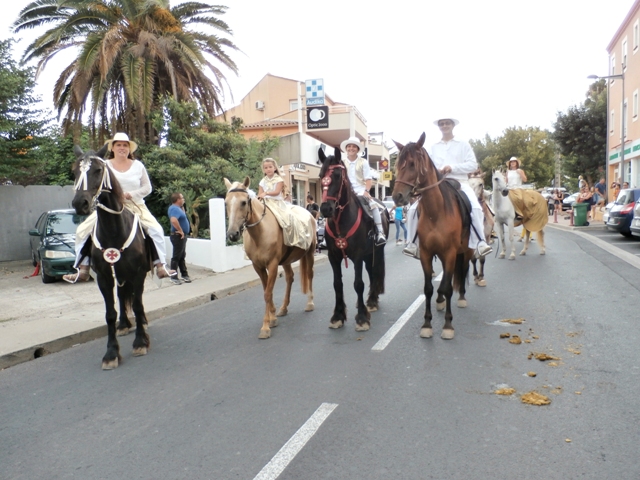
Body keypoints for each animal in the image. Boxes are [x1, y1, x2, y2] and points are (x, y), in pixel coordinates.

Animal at [71, 144, 154, 370]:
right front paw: (111, 353)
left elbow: (137, 304)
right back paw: (124, 324)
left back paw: (141, 323)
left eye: (98, 170)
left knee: (135, 299)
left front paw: (140, 342)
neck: (114, 230)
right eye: (75, 171)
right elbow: (110, 314)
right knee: (122, 295)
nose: (80, 203)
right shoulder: (104, 277)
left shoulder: (138, 273)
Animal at [224, 178, 316, 340]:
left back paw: (310, 304)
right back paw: (284, 308)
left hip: (310, 252)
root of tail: (309, 213)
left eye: (243, 202)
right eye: (225, 203)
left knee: (309, 275)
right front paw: (273, 317)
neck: (261, 232)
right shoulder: (258, 266)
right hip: (286, 260)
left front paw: (265, 327)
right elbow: (267, 289)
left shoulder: (272, 265)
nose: (232, 234)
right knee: (289, 277)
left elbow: (267, 292)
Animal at [316, 146, 388, 330]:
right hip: (368, 254)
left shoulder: (357, 256)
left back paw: (372, 301)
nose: (326, 208)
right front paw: (337, 316)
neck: (341, 221)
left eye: (337, 175)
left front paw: (362, 318)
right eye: (320, 175)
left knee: (373, 272)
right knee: (371, 271)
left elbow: (358, 284)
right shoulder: (333, 256)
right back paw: (370, 300)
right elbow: (337, 284)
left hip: (375, 251)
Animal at [390, 133, 476, 340]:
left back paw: (461, 297)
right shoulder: (427, 254)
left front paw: (447, 325)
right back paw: (440, 301)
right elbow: (429, 288)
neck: (436, 212)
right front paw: (427, 324)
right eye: (398, 166)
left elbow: (447, 287)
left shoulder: (451, 253)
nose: (397, 197)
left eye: (412, 164)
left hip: (465, 251)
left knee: (462, 271)